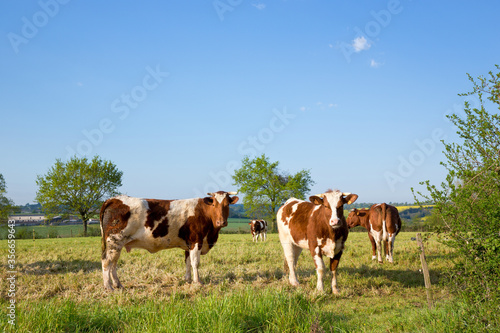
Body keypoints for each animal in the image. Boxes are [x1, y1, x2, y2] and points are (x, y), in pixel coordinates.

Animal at [98, 191, 239, 290]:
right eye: (214, 204)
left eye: (227, 205)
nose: (221, 222)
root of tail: (114, 199)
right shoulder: (196, 241)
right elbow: (195, 263)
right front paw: (198, 282)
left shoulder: (188, 244)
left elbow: (187, 262)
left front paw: (188, 280)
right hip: (114, 241)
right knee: (107, 261)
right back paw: (108, 286)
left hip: (117, 244)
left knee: (114, 263)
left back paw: (118, 284)